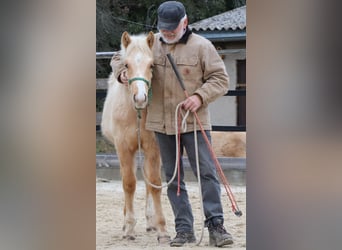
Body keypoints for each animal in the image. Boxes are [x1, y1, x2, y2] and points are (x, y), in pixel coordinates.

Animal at [100, 31, 170, 242]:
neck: (136, 113)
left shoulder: (153, 148)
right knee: (127, 180)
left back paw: (150, 222)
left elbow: (154, 184)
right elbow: (129, 184)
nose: (140, 99)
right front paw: (129, 227)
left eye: (151, 65)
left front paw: (162, 229)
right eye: (126, 65)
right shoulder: (123, 148)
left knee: (147, 182)